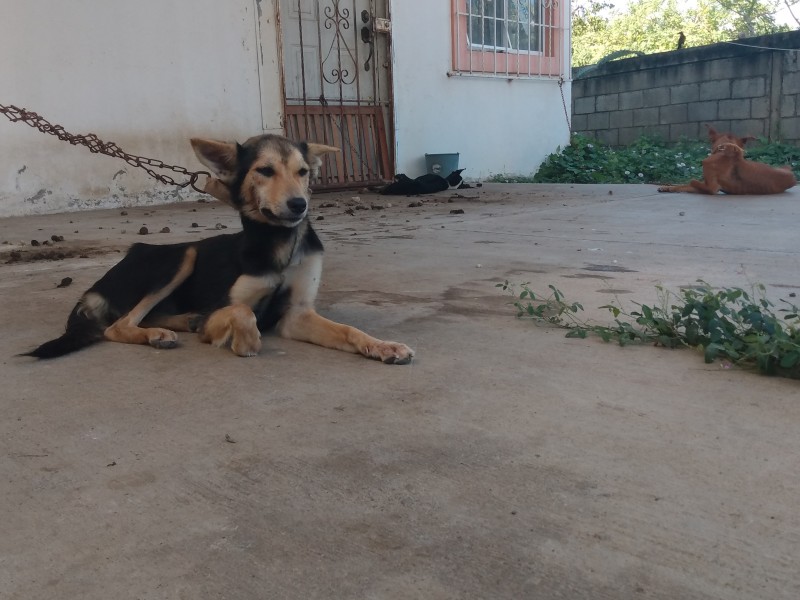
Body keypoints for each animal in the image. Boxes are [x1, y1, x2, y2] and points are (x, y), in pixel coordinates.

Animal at [22, 134, 416, 364]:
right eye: (265, 171)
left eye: (303, 171)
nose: (299, 205)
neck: (278, 243)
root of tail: (100, 282)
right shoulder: (225, 306)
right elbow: (242, 312)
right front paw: (246, 340)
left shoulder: (296, 313)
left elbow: (349, 330)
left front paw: (383, 346)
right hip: (182, 256)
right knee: (117, 326)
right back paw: (158, 333)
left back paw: (182, 321)